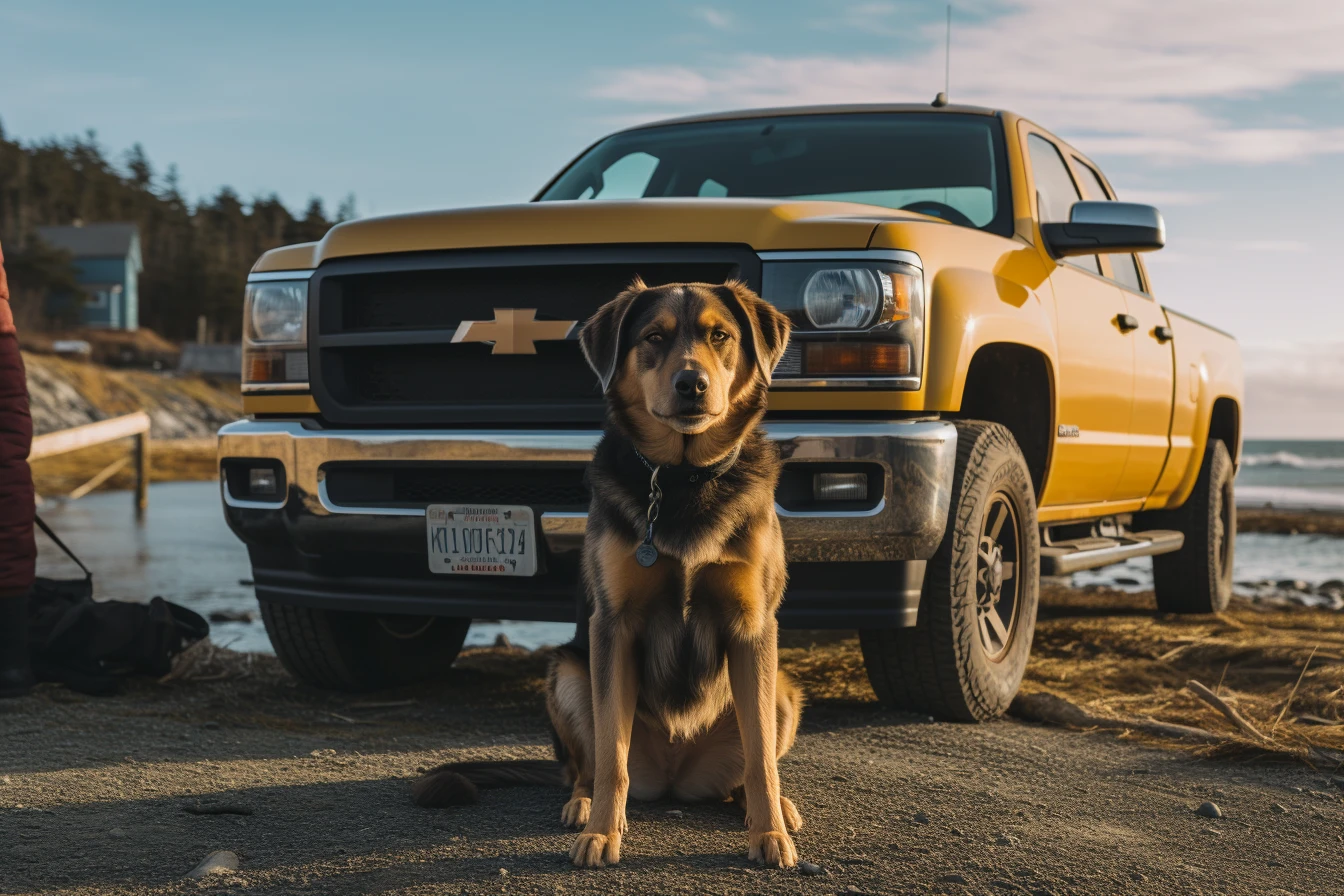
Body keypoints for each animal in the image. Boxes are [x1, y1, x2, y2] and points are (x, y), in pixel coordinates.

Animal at [413, 280, 801, 870]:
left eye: (721, 336)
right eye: (654, 337)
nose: (692, 385)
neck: (683, 479)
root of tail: (673, 777)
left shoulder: (753, 628)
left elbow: (760, 758)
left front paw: (770, 833)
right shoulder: (613, 629)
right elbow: (611, 754)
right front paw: (601, 832)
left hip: (781, 687)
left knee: (747, 769)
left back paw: (775, 807)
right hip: (570, 674)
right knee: (586, 766)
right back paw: (582, 804)